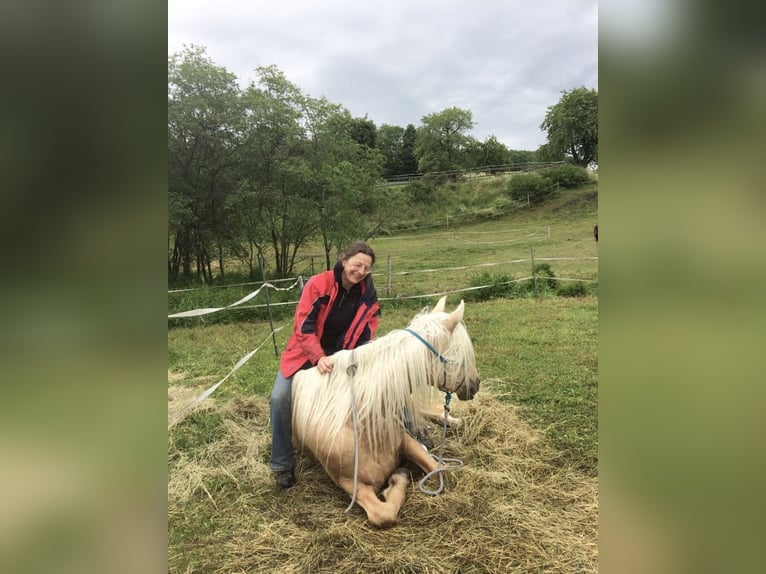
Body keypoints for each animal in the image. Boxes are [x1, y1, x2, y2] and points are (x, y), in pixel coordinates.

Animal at [292, 300, 480, 528]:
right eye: (462, 357)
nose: (476, 384)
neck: (359, 422)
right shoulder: (349, 483)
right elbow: (383, 514)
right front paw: (398, 477)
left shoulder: (405, 440)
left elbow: (438, 468)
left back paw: (451, 421)